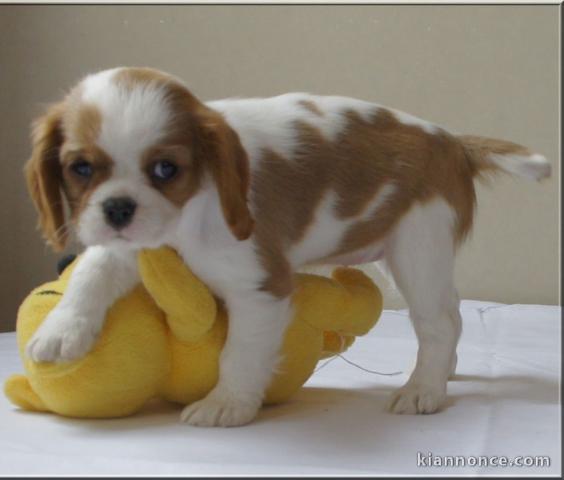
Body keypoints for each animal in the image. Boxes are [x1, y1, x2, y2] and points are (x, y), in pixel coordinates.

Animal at [24, 65, 548, 426]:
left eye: (166, 169)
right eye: (81, 168)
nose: (118, 209)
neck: (187, 216)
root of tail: (452, 142)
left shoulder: (261, 287)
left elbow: (237, 352)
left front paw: (227, 404)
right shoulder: (132, 245)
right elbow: (93, 273)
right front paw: (60, 332)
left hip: (418, 246)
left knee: (439, 322)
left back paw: (425, 389)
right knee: (450, 311)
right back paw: (442, 374)